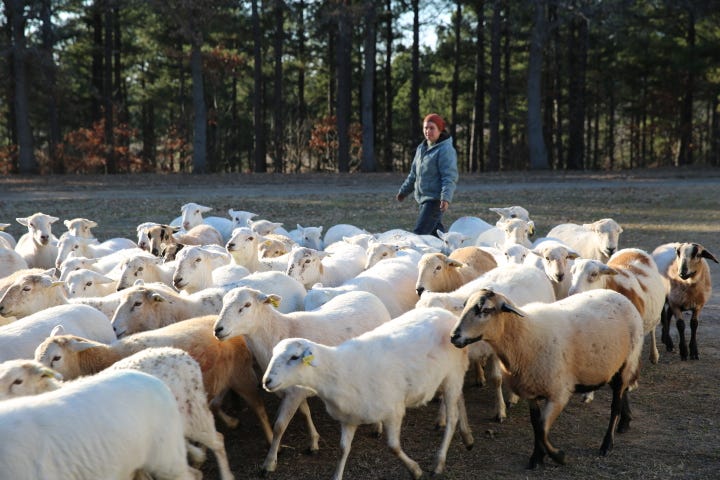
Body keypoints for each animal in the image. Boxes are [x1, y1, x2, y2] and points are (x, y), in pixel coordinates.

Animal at [214, 286, 394, 474]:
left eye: (247, 305)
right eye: (223, 302)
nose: (217, 329)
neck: (280, 332)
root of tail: (369, 295)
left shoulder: (293, 393)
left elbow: (279, 426)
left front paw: (270, 462)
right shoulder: (295, 390)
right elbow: (305, 412)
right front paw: (313, 442)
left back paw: (377, 427)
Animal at [262, 306, 476, 478]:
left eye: (294, 357)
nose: (266, 381)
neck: (338, 371)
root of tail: (447, 314)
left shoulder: (393, 410)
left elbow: (393, 447)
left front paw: (415, 470)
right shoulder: (348, 417)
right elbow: (343, 449)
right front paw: (337, 475)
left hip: (452, 375)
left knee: (452, 417)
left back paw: (439, 462)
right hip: (452, 375)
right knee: (460, 399)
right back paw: (467, 437)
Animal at [452, 286, 644, 466]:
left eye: (485, 310)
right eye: (465, 306)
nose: (454, 336)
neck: (523, 336)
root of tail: (619, 296)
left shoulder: (558, 394)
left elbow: (543, 428)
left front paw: (558, 456)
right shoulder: (530, 390)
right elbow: (536, 425)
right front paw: (537, 457)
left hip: (627, 361)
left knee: (615, 404)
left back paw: (607, 444)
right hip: (613, 366)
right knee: (622, 391)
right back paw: (625, 422)